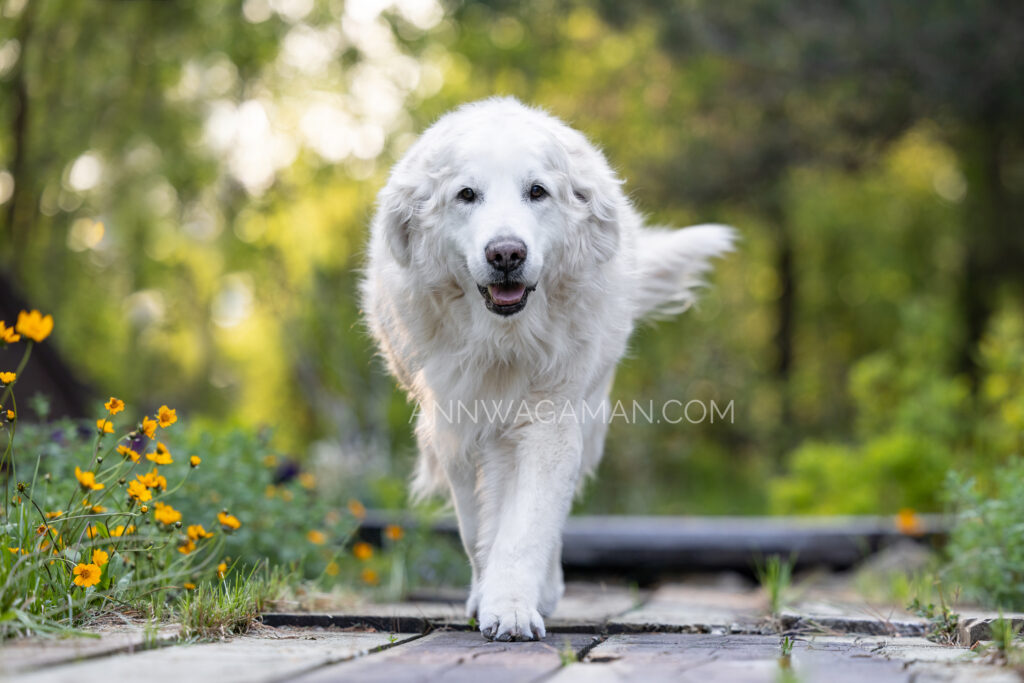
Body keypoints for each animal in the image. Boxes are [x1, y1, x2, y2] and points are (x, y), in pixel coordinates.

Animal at [364, 97, 733, 643]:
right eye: (466, 195)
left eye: (536, 191)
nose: (506, 253)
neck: (503, 341)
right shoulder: (457, 424)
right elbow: (477, 526)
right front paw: (491, 597)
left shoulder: (550, 422)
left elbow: (527, 524)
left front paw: (514, 607)